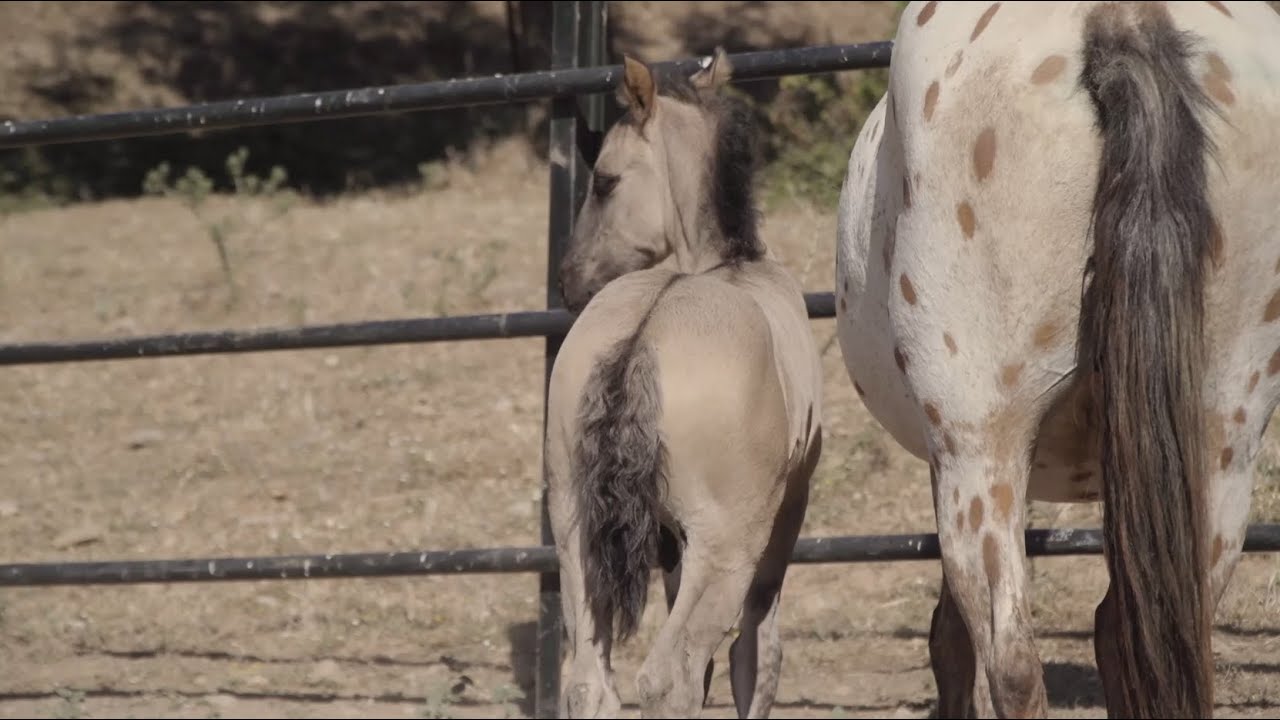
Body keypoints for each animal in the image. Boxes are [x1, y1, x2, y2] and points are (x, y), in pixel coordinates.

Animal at [544, 48, 825, 718]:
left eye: (604, 180)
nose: (568, 280)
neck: (732, 266)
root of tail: (640, 339)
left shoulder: (666, 541)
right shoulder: (786, 511)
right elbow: (758, 653)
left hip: (575, 529)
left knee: (590, 680)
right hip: (725, 547)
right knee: (670, 674)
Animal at [835, 1, 1280, 717]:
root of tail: (1122, 19)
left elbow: (951, 641)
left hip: (981, 442)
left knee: (1013, 657)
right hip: (1219, 450)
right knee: (1136, 634)